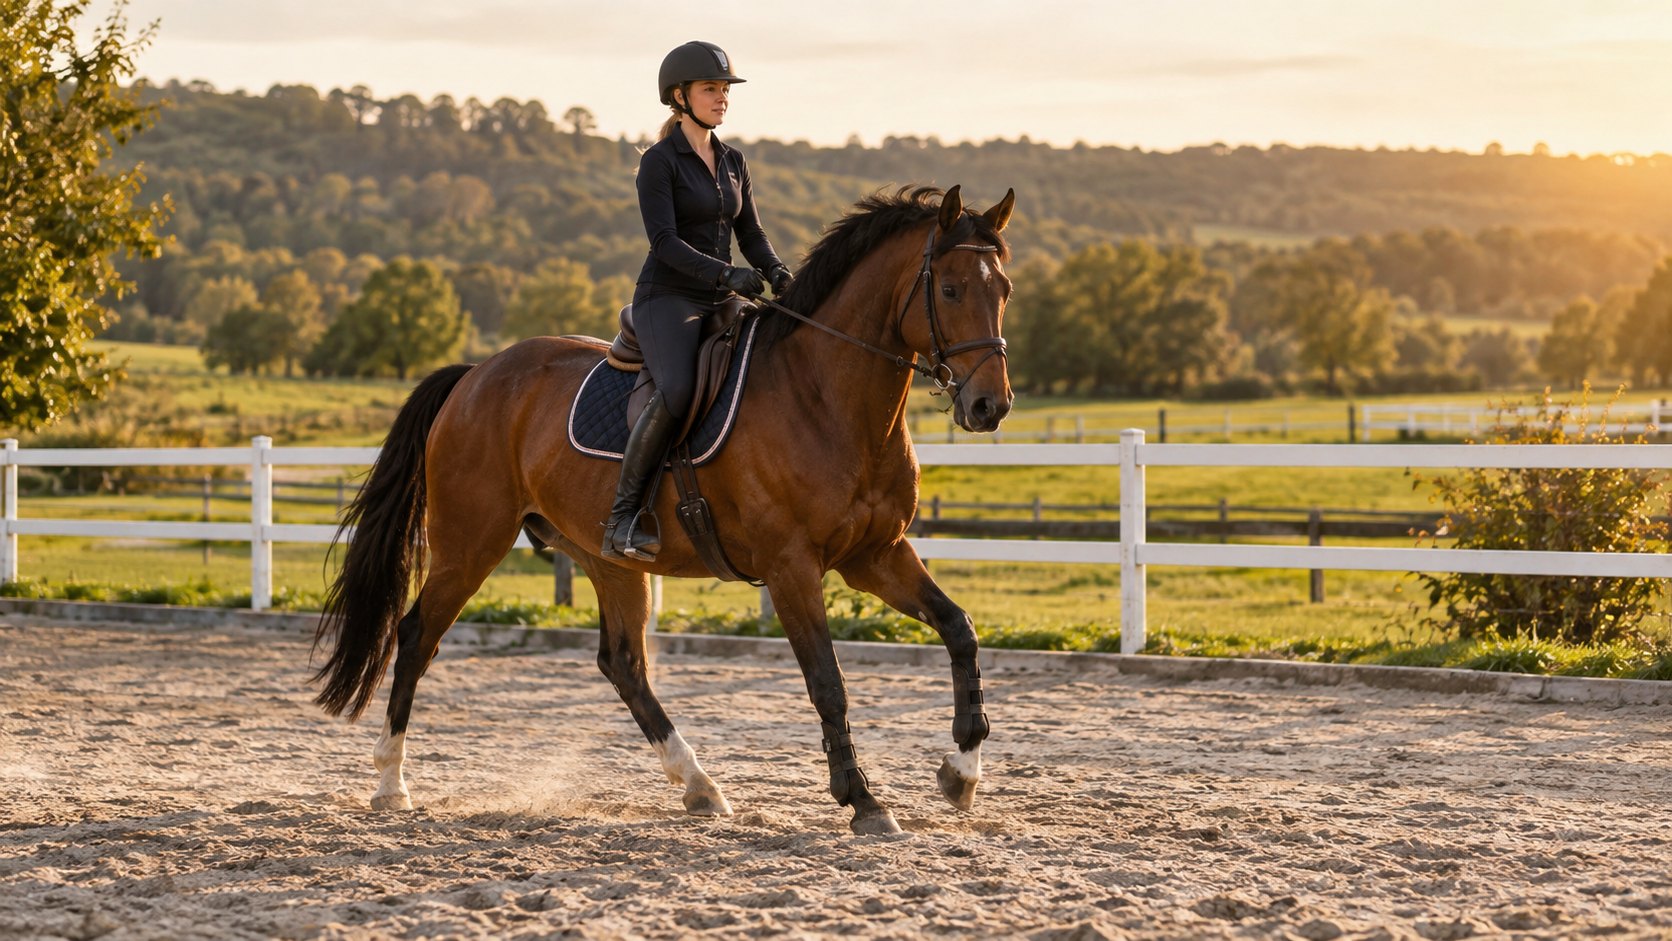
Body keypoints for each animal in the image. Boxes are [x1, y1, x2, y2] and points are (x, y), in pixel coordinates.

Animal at [311, 184, 1016, 835]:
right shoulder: (791, 567)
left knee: (623, 664)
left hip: (607, 558)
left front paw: (962, 772)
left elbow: (959, 628)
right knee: (415, 637)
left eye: (1004, 289)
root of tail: (476, 374)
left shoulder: (875, 554)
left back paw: (700, 786)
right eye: (951, 289)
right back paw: (391, 784)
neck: (825, 398)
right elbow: (827, 681)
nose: (990, 407)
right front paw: (864, 801)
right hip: (469, 544)